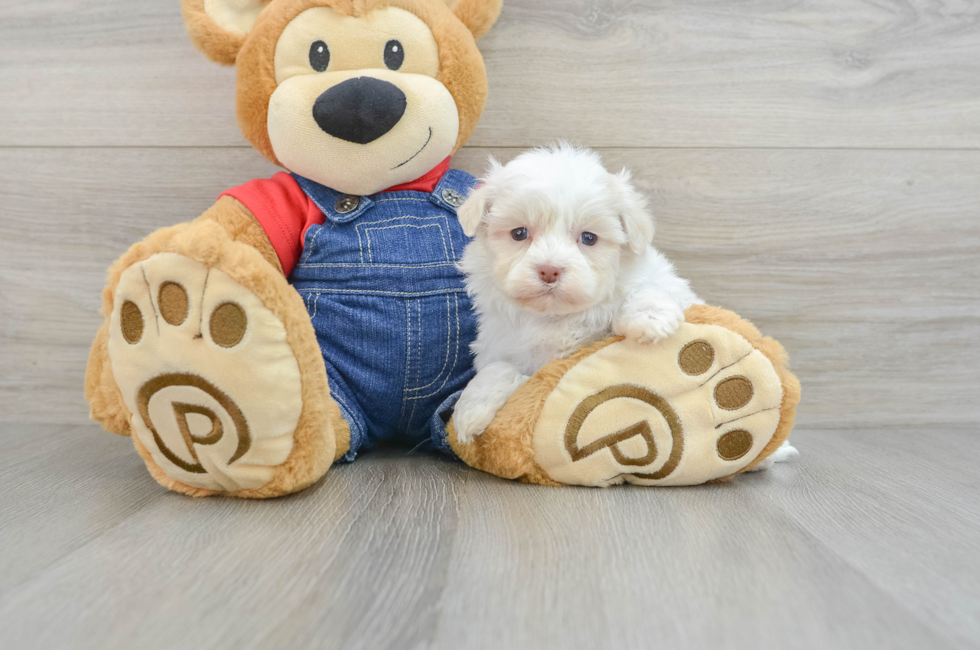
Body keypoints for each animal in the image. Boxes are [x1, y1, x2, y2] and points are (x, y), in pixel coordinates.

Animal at [456, 144, 700, 442]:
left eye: (589, 238)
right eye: (519, 233)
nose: (549, 270)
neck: (556, 318)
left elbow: (645, 292)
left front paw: (649, 318)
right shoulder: (500, 345)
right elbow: (498, 368)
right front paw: (470, 410)